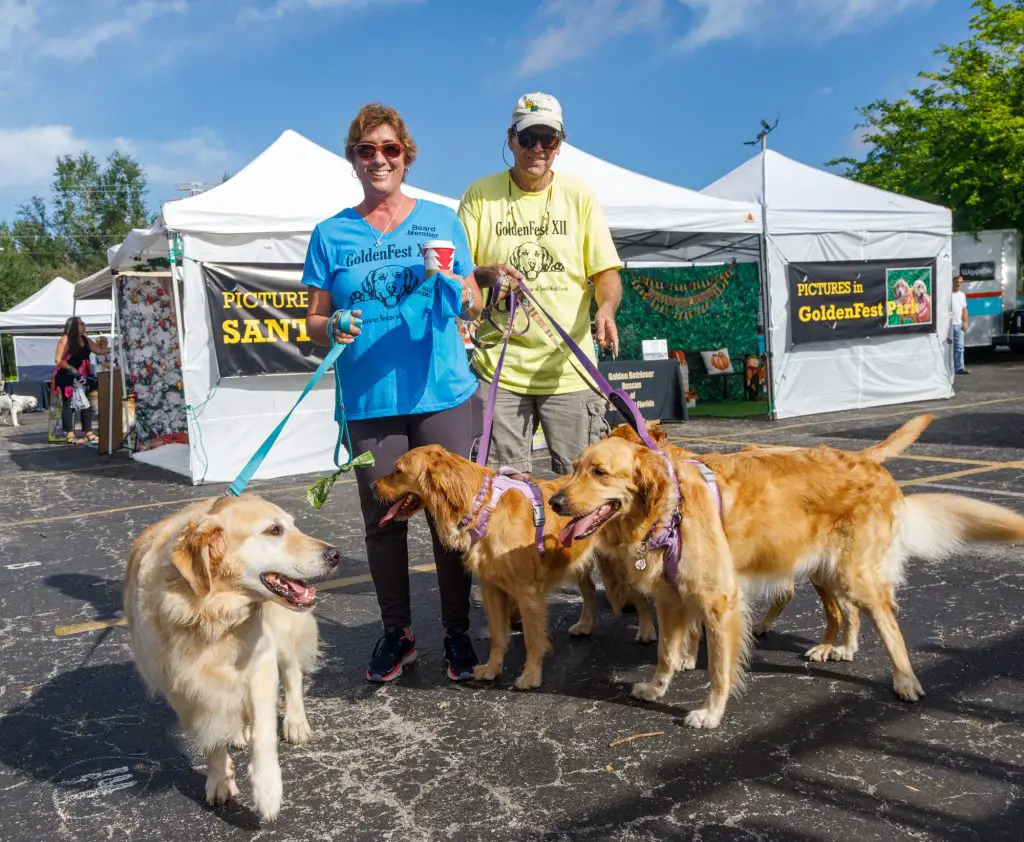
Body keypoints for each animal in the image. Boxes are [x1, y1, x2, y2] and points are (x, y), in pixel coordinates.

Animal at [123, 493, 339, 823]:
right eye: (274, 530)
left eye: (293, 525)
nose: (335, 555)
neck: (208, 615)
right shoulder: (182, 687)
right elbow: (211, 736)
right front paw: (220, 780)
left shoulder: (261, 661)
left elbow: (264, 733)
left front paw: (267, 790)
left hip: (282, 634)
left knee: (292, 675)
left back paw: (295, 723)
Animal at [372, 438, 659, 688]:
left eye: (397, 470)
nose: (372, 486)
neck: (485, 508)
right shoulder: (491, 588)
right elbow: (498, 637)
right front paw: (491, 669)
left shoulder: (526, 590)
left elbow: (532, 638)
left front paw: (530, 676)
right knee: (589, 590)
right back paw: (585, 624)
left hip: (623, 561)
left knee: (639, 597)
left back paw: (646, 630)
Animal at [557, 417, 1024, 729]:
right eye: (576, 467)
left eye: (599, 472)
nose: (557, 502)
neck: (670, 505)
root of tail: (868, 461)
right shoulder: (672, 600)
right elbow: (666, 653)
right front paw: (656, 689)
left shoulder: (719, 602)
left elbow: (719, 669)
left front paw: (711, 712)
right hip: (827, 572)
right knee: (848, 613)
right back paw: (842, 648)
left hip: (855, 575)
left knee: (888, 624)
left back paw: (905, 680)